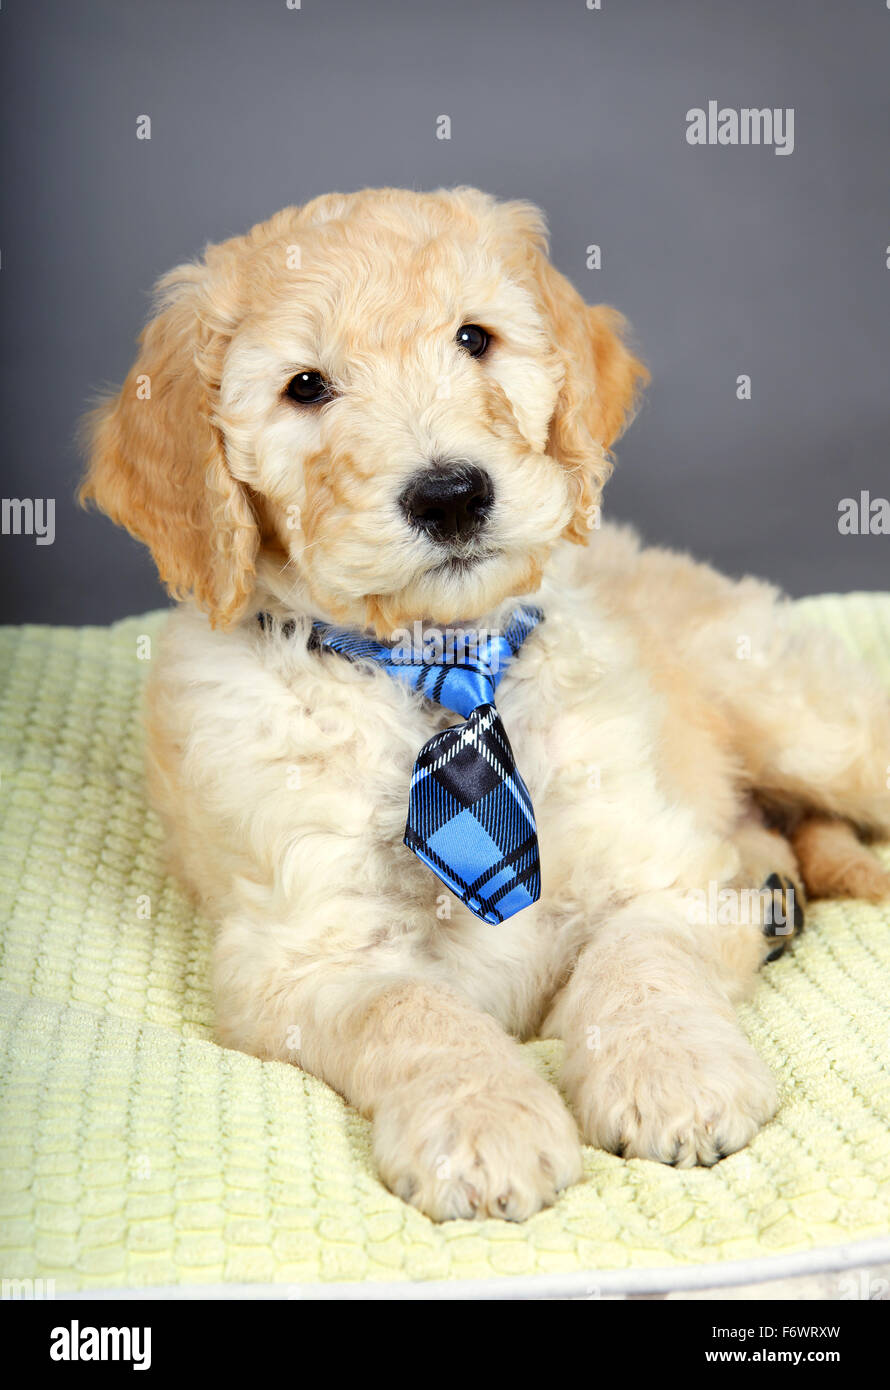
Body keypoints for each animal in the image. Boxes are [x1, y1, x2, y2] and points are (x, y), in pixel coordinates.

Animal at [78, 184, 890, 1217]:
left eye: (475, 339)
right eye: (305, 387)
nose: (452, 496)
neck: (447, 675)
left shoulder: (665, 872)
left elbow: (638, 962)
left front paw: (671, 1075)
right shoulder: (306, 954)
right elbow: (412, 1009)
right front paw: (483, 1119)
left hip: (798, 716)